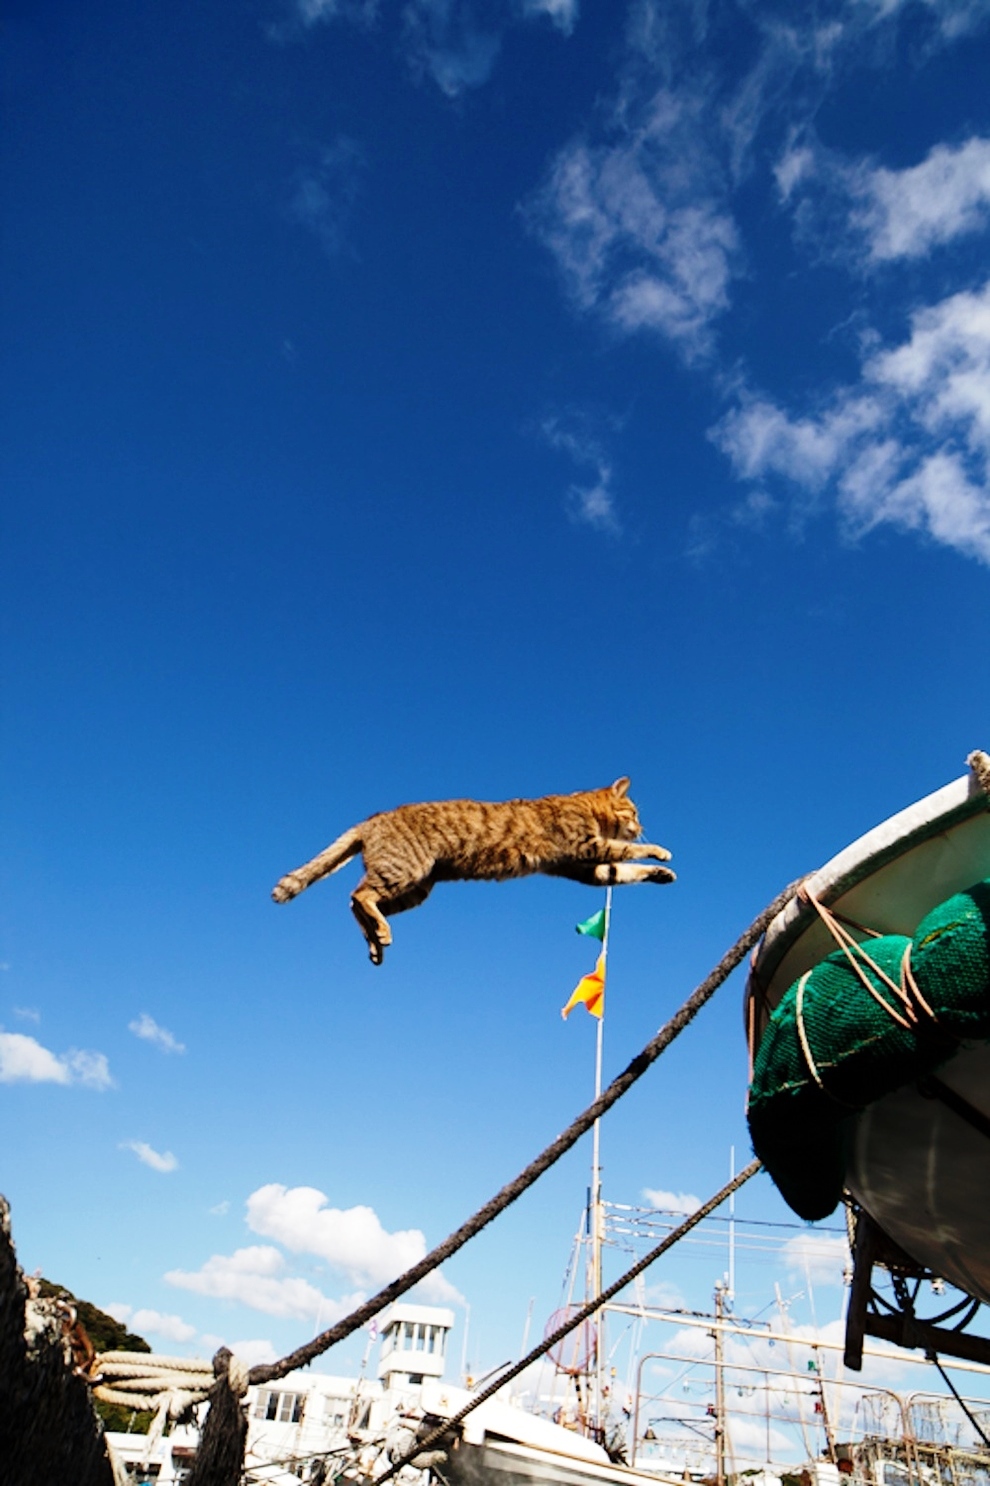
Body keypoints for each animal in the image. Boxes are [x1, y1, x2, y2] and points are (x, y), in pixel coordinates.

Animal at [270, 784, 671, 968]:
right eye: (633, 811)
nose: (640, 825)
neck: (584, 804)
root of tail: (372, 819)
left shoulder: (583, 867)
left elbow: (623, 870)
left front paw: (659, 873)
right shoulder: (586, 846)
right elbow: (624, 852)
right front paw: (658, 850)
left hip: (417, 888)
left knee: (356, 904)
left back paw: (374, 941)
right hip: (406, 870)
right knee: (360, 895)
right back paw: (380, 931)